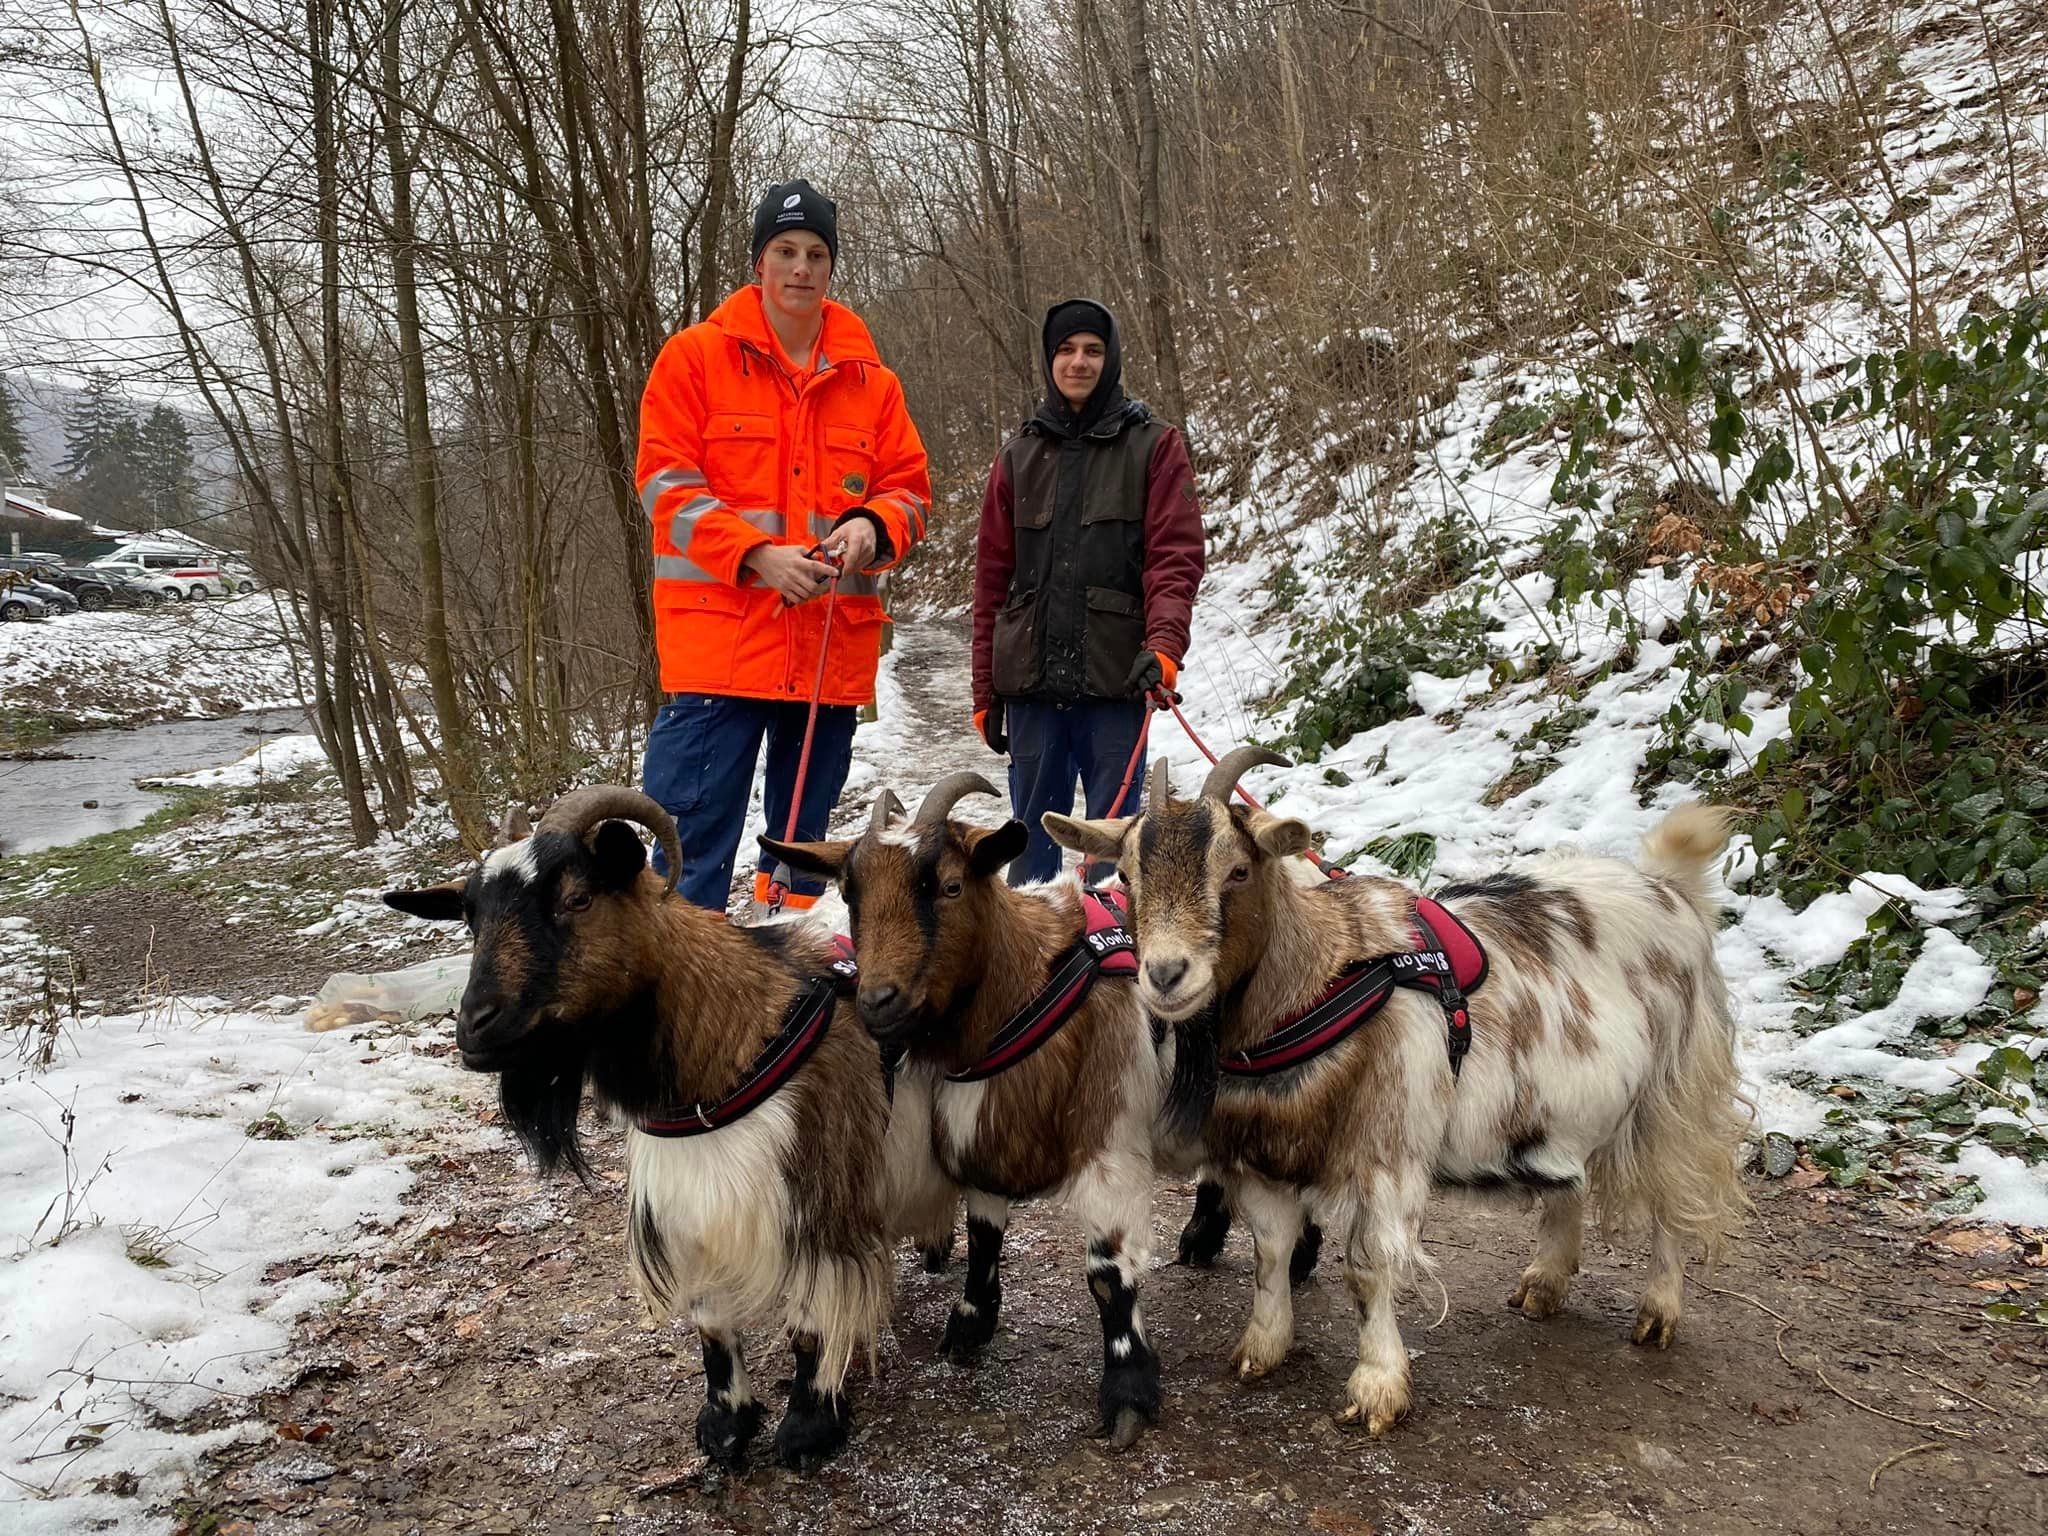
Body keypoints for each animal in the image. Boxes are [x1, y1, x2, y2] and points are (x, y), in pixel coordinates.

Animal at [383, 786, 905, 1473]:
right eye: (471, 918)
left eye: (578, 898)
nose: (475, 1027)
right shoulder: (692, 1215)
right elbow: (711, 1323)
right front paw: (726, 1425)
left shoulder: (822, 1198)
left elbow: (811, 1321)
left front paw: (809, 1429)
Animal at [762, 773, 1172, 1449]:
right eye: (849, 894)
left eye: (950, 886)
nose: (877, 1001)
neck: (1025, 987)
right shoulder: (979, 1136)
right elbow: (984, 1236)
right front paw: (969, 1327)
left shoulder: (1108, 1139)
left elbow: (1108, 1271)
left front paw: (1129, 1392)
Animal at [1045, 750, 1751, 1436]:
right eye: (1128, 877)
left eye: (1239, 870)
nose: (1166, 975)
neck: (1319, 981)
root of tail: (1669, 887)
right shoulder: (1266, 1152)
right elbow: (1270, 1252)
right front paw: (1261, 1349)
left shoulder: (1389, 1151)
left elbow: (1370, 1268)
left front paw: (1377, 1388)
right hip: (1557, 1108)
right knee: (1566, 1181)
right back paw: (1545, 1284)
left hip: (1674, 1088)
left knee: (1673, 1195)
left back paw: (1659, 1310)